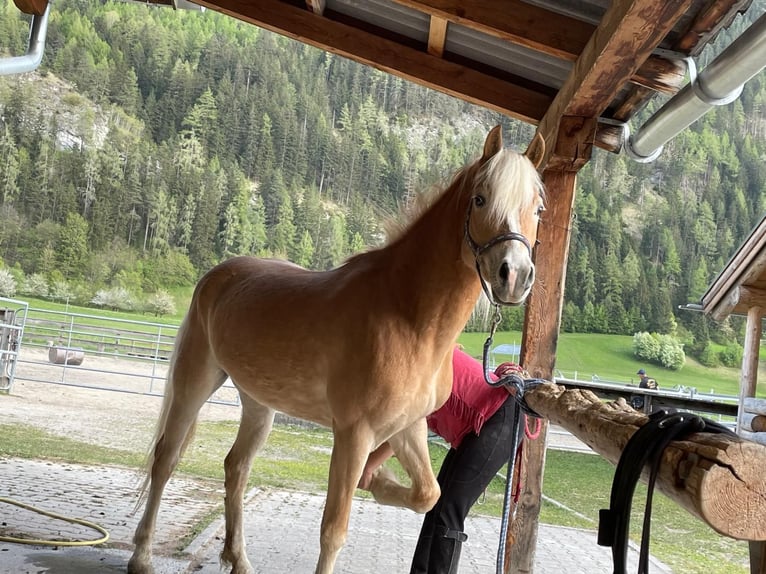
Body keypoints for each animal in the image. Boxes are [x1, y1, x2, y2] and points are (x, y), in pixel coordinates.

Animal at [127, 126, 544, 574]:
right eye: (481, 198)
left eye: (538, 208)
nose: (514, 276)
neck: (408, 317)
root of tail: (217, 276)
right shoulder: (354, 434)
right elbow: (333, 530)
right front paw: (374, 482)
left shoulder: (409, 427)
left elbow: (427, 495)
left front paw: (379, 482)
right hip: (195, 382)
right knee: (165, 459)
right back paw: (142, 556)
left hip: (259, 404)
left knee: (236, 468)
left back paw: (238, 560)